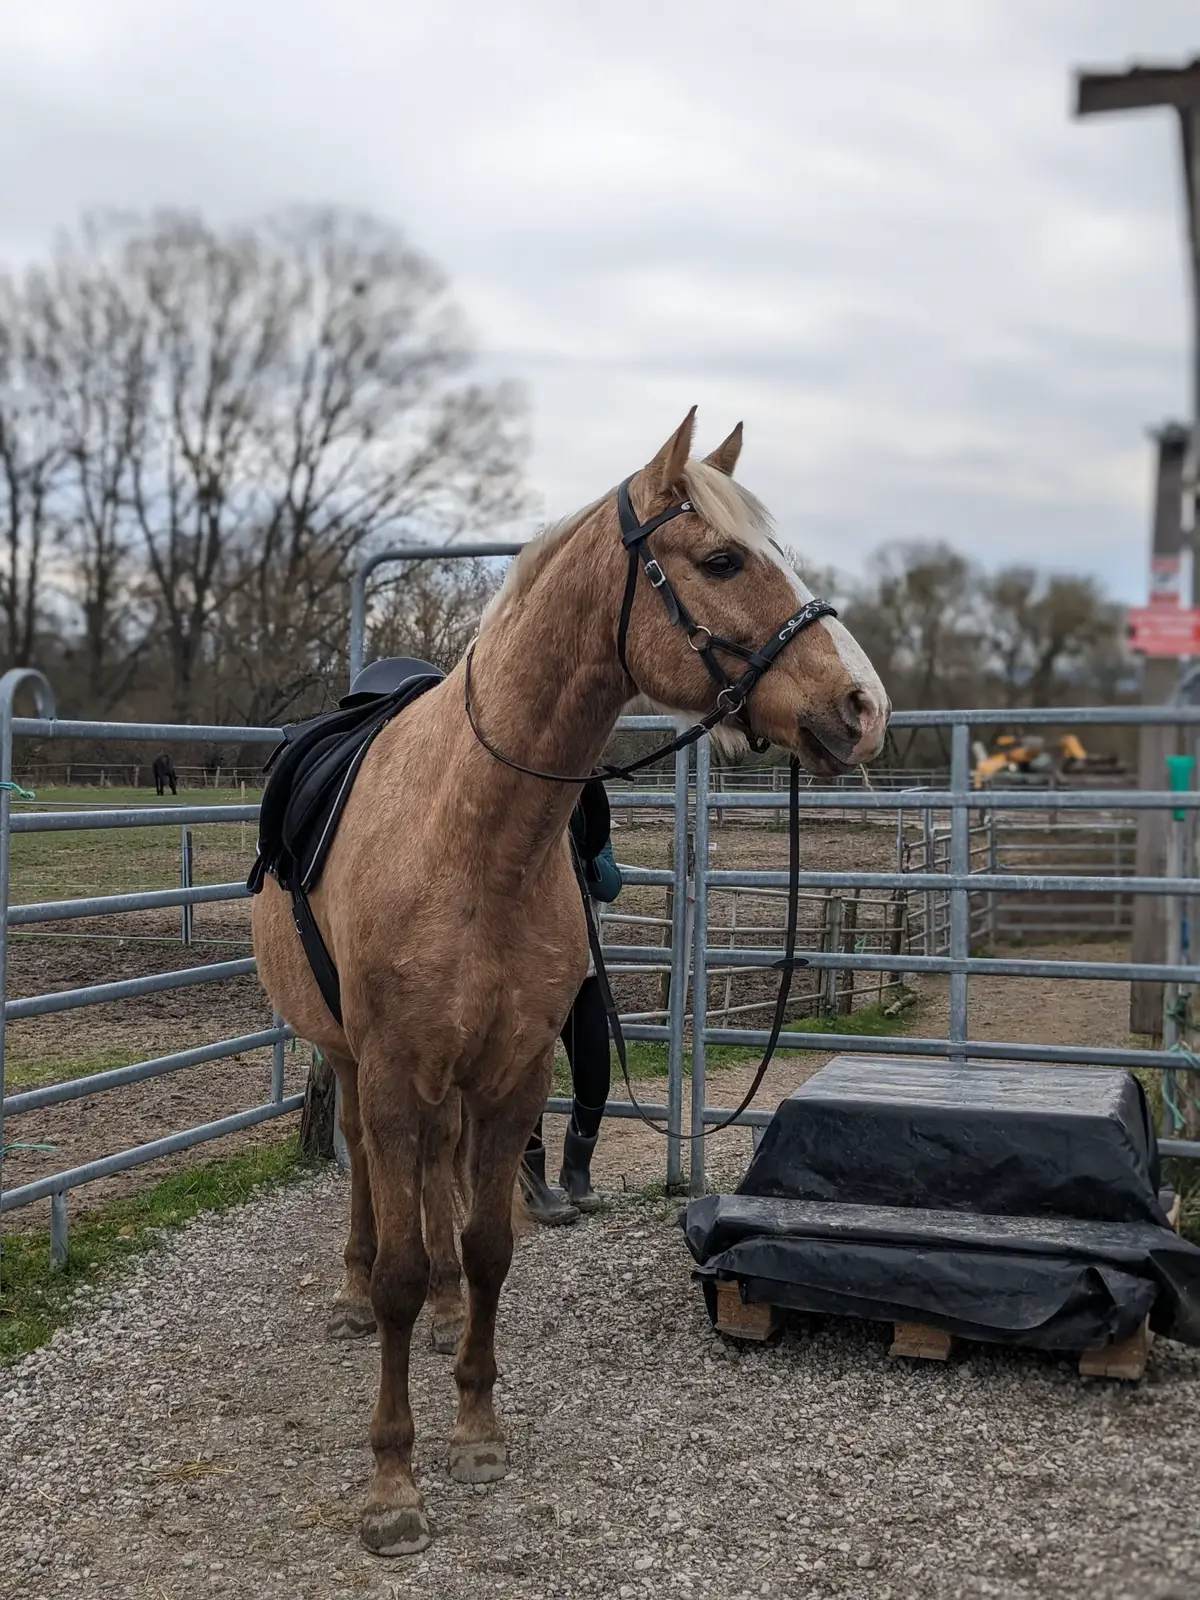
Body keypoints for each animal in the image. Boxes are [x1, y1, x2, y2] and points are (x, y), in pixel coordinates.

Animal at [254, 409, 896, 1548]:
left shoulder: (511, 1074)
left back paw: (447, 1315)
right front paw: (392, 1483)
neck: (473, 836)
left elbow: (487, 1245)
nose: (863, 706)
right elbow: (403, 1264)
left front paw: (474, 1426)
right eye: (722, 559)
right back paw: (351, 1291)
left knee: (439, 1191)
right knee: (373, 1180)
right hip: (356, 1061)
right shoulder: (395, 1069)